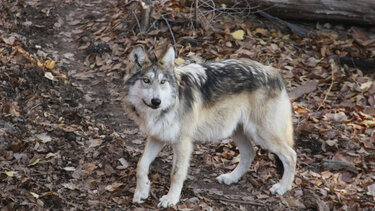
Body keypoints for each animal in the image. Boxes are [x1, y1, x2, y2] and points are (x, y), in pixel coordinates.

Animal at [123, 45, 296, 208]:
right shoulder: (156, 137)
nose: (156, 101)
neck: (169, 104)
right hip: (237, 131)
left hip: (261, 134)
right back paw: (231, 178)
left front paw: (171, 199)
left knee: (291, 155)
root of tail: (274, 72)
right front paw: (141, 192)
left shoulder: (183, 142)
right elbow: (141, 165)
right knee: (250, 153)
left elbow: (176, 173)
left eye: (162, 82)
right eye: (146, 80)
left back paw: (282, 188)